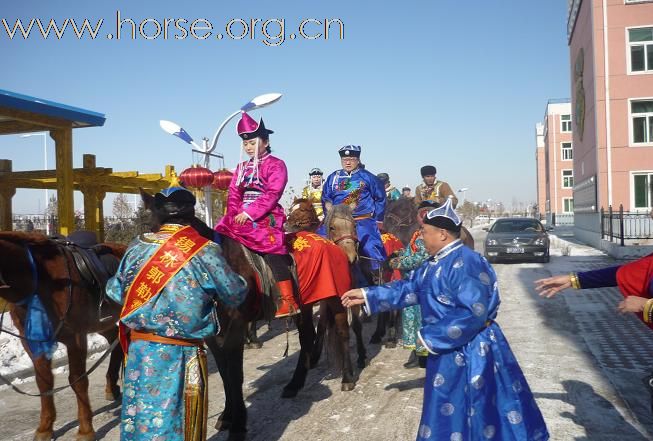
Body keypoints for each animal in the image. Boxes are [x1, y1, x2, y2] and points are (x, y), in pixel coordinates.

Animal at [0, 230, 125, 440]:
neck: (41, 280)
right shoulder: (33, 341)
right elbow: (44, 382)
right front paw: (45, 428)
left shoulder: (76, 338)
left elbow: (78, 381)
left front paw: (85, 430)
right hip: (102, 322)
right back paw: (112, 387)